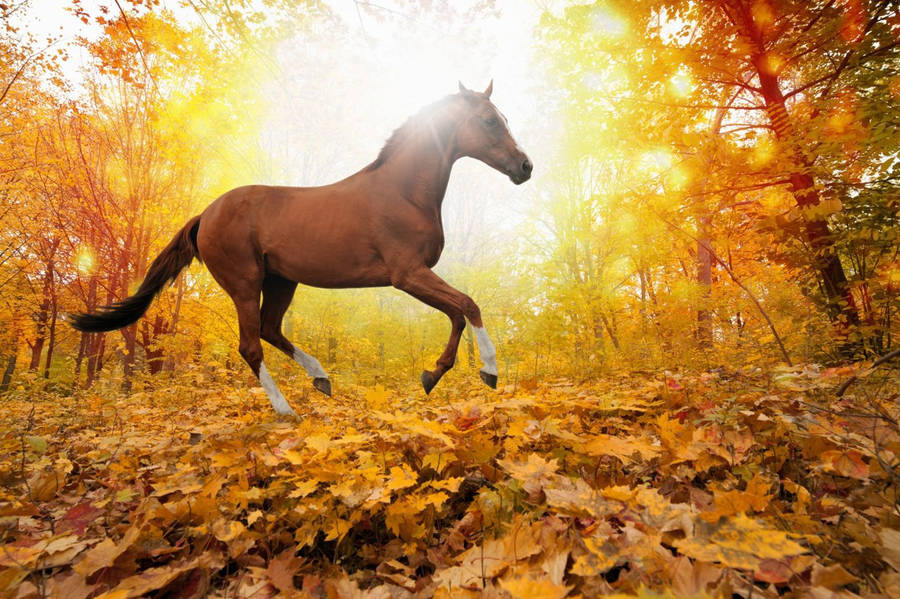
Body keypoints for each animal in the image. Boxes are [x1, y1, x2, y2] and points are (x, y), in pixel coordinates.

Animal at [70, 81, 532, 416]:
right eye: (489, 121)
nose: (525, 167)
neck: (403, 192)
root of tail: (206, 214)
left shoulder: (415, 276)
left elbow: (457, 313)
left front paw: (432, 375)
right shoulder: (407, 275)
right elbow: (467, 305)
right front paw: (489, 371)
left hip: (281, 281)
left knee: (271, 330)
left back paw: (321, 378)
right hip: (245, 283)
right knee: (251, 345)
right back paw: (286, 409)